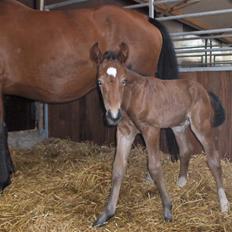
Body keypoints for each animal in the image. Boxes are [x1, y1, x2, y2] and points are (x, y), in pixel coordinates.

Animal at [89, 43, 229, 227]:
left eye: (124, 81)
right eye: (99, 82)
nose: (113, 116)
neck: (132, 98)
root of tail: (203, 90)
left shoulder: (151, 130)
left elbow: (154, 167)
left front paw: (168, 209)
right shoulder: (124, 132)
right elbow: (118, 168)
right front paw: (106, 214)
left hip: (201, 126)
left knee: (213, 159)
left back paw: (224, 203)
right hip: (178, 126)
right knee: (186, 149)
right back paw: (181, 181)